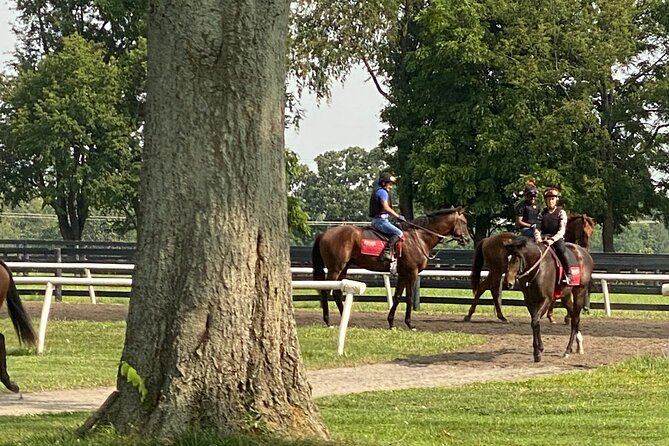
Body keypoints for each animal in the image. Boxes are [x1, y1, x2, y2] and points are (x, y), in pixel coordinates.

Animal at [312, 207, 471, 330]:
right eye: (464, 222)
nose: (468, 239)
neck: (418, 238)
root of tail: (323, 234)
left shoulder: (403, 274)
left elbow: (397, 296)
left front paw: (391, 323)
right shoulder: (412, 273)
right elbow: (409, 297)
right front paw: (409, 324)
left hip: (344, 268)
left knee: (337, 292)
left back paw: (345, 319)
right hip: (335, 268)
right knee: (326, 290)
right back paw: (328, 321)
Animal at [467, 214, 596, 323]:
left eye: (592, 232)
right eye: (584, 231)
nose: (586, 249)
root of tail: (487, 240)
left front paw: (554, 316)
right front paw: (554, 316)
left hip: (494, 271)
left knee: (482, 287)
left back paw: (470, 315)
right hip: (497, 271)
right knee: (493, 290)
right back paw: (501, 316)